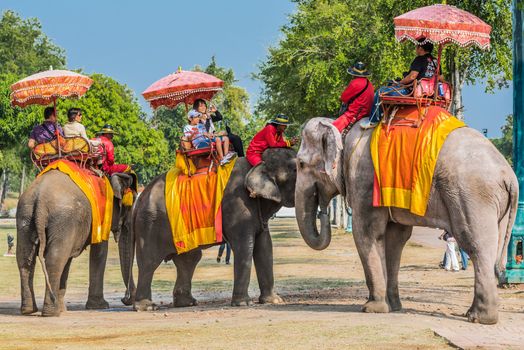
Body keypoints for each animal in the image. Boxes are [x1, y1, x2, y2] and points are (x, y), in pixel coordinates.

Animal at [16, 170, 136, 318]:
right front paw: (100, 306)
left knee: (25, 259)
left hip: (25, 216)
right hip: (62, 220)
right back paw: (51, 312)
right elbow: (100, 251)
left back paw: (29, 310)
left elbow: (68, 260)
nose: (125, 299)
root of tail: (40, 200)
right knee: (55, 259)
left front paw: (63, 309)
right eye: (129, 206)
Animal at [129, 146, 296, 310]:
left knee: (188, 259)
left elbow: (265, 247)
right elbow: (244, 246)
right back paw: (147, 307)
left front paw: (274, 301)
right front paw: (243, 304)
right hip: (150, 223)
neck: (256, 163)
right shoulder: (237, 206)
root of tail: (140, 198)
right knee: (150, 261)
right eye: (296, 168)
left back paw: (187, 303)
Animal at [294, 117, 516, 326]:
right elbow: (395, 239)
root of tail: (509, 176)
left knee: (476, 246)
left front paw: (371, 308)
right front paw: (393, 306)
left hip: (473, 196)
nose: (322, 210)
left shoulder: (364, 180)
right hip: (495, 203)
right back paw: (473, 314)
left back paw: (480, 318)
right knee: (492, 248)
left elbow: (366, 232)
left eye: (300, 164)